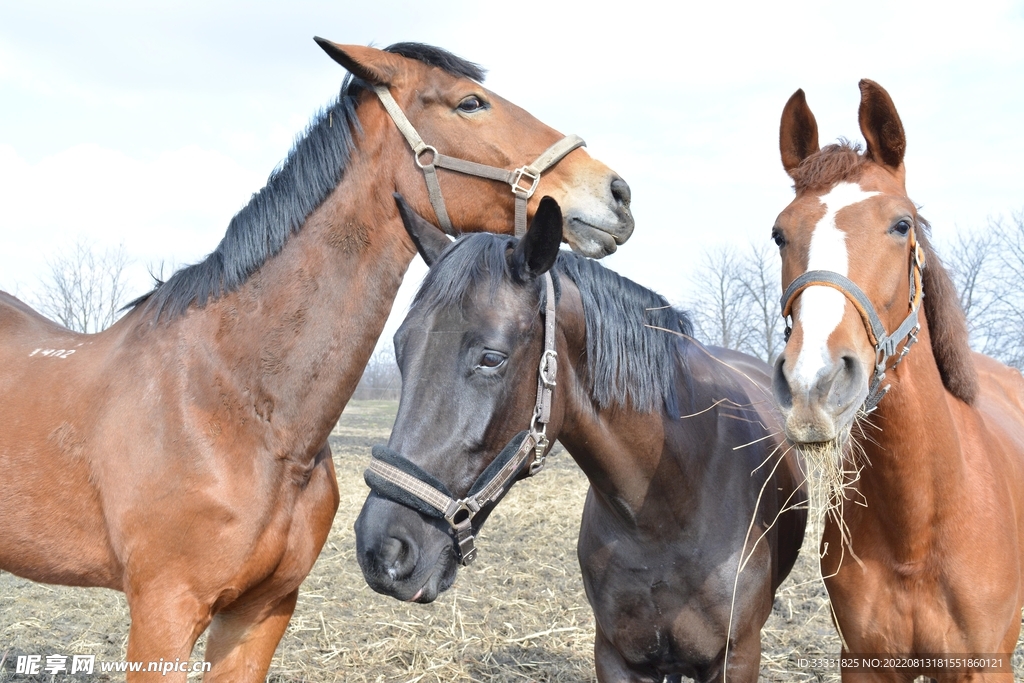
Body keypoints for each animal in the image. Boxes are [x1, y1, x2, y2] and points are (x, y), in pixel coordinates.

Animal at [353, 195, 808, 682]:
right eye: (400, 347)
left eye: (492, 358)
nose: (380, 549)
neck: (667, 506)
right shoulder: (616, 654)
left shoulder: (736, 658)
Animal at [771, 79, 1024, 681]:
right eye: (779, 234)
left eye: (901, 224)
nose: (813, 384)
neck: (920, 527)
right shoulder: (865, 662)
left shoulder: (987, 664)